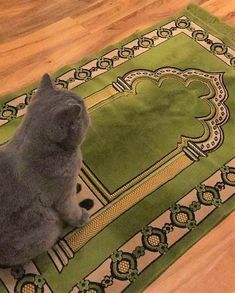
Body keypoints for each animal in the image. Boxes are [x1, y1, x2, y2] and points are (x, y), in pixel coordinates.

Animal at [0, 74, 92, 268]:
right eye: (83, 111)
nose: (87, 109)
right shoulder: (63, 196)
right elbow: (71, 210)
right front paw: (81, 218)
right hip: (46, 228)